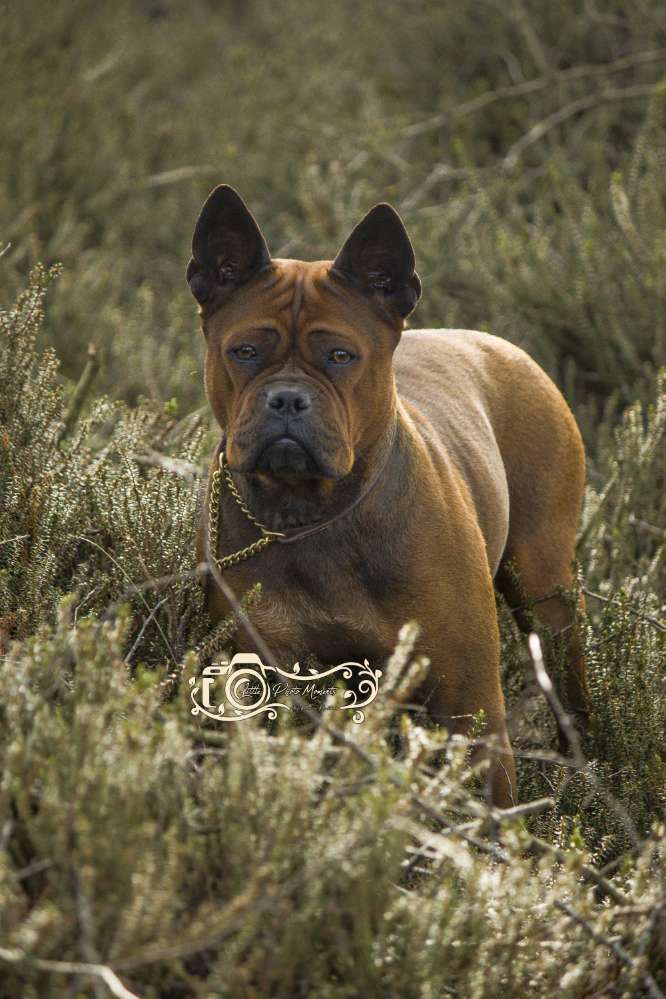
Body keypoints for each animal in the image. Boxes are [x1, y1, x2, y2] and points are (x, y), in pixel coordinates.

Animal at [187, 185, 588, 806]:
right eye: (245, 351)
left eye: (341, 356)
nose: (287, 398)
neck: (314, 512)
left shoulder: (470, 703)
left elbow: (489, 809)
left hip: (546, 587)